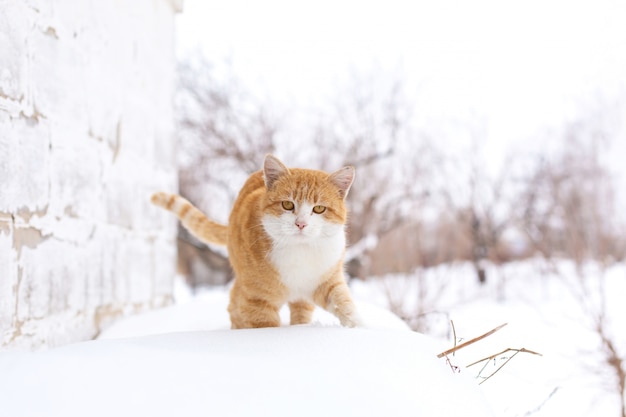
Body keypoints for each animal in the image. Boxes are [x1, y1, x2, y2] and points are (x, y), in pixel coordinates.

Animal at [151, 154, 360, 328]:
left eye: (319, 209)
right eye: (287, 204)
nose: (301, 224)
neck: (300, 251)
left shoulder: (328, 280)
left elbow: (345, 305)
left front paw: (358, 327)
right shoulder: (257, 302)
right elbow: (263, 326)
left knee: (300, 309)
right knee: (234, 307)